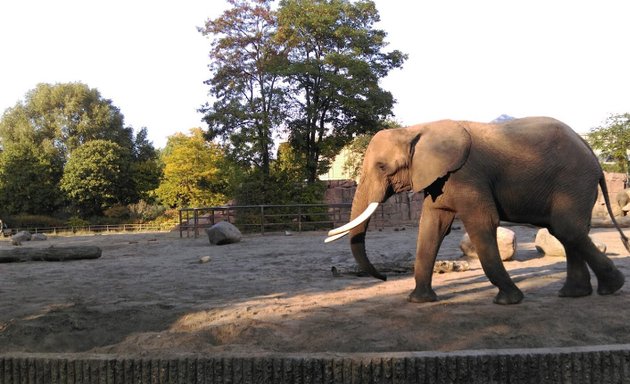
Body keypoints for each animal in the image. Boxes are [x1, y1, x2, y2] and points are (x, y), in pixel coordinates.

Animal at [328, 117, 628, 306]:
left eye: (381, 167)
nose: (384, 277)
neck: (417, 129)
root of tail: (593, 155)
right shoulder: (440, 179)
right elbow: (432, 226)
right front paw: (419, 301)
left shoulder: (467, 176)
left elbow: (482, 223)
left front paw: (508, 301)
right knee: (565, 231)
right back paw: (575, 294)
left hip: (573, 180)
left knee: (567, 229)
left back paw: (611, 288)